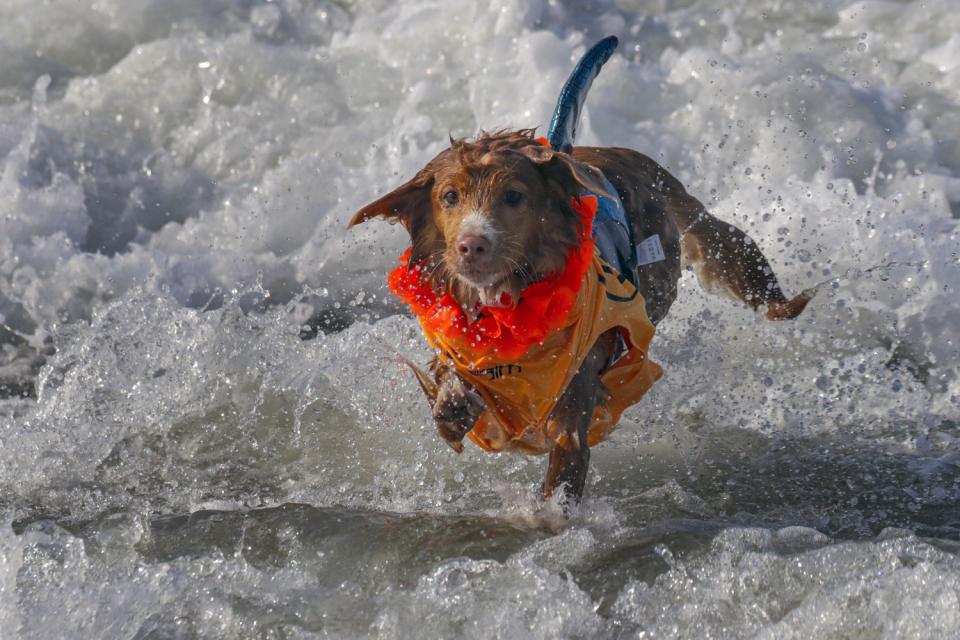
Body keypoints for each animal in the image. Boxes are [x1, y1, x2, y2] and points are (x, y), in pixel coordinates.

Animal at [344, 127, 808, 502]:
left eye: (513, 196)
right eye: (449, 196)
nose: (472, 245)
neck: (509, 310)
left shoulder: (573, 402)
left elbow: (564, 469)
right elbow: (454, 383)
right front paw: (454, 404)